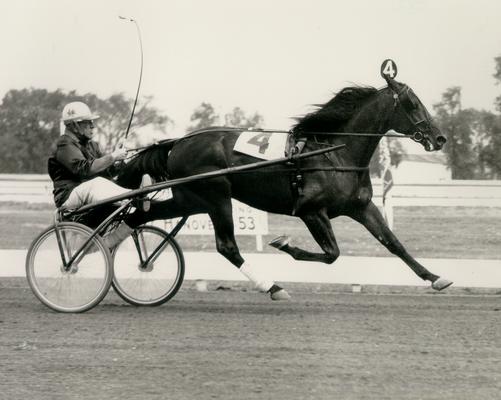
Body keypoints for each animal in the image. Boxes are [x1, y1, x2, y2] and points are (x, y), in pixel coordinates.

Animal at [114, 75, 450, 300]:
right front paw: (284, 243)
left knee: (138, 216)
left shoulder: (361, 207)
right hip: (216, 197)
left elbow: (393, 243)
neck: (333, 152)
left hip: (191, 199)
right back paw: (273, 287)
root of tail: (179, 142)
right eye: (412, 103)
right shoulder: (311, 210)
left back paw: (135, 261)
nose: (439, 138)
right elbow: (332, 254)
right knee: (227, 246)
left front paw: (435, 277)